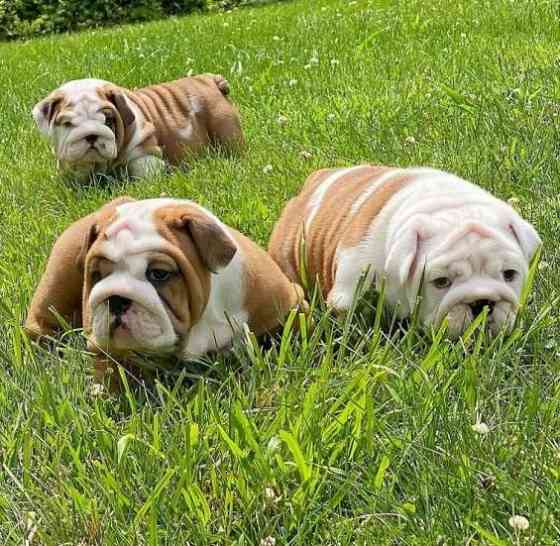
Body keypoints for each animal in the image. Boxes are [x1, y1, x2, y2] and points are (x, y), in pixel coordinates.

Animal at [25, 194, 306, 382]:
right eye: (96, 275)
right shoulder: (102, 345)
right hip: (57, 280)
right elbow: (110, 369)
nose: (115, 299)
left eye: (159, 274)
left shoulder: (287, 302)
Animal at [32, 73, 243, 180]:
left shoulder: (146, 154)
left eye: (108, 121)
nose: (91, 135)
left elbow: (140, 168)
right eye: (68, 124)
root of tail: (210, 80)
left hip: (224, 127)